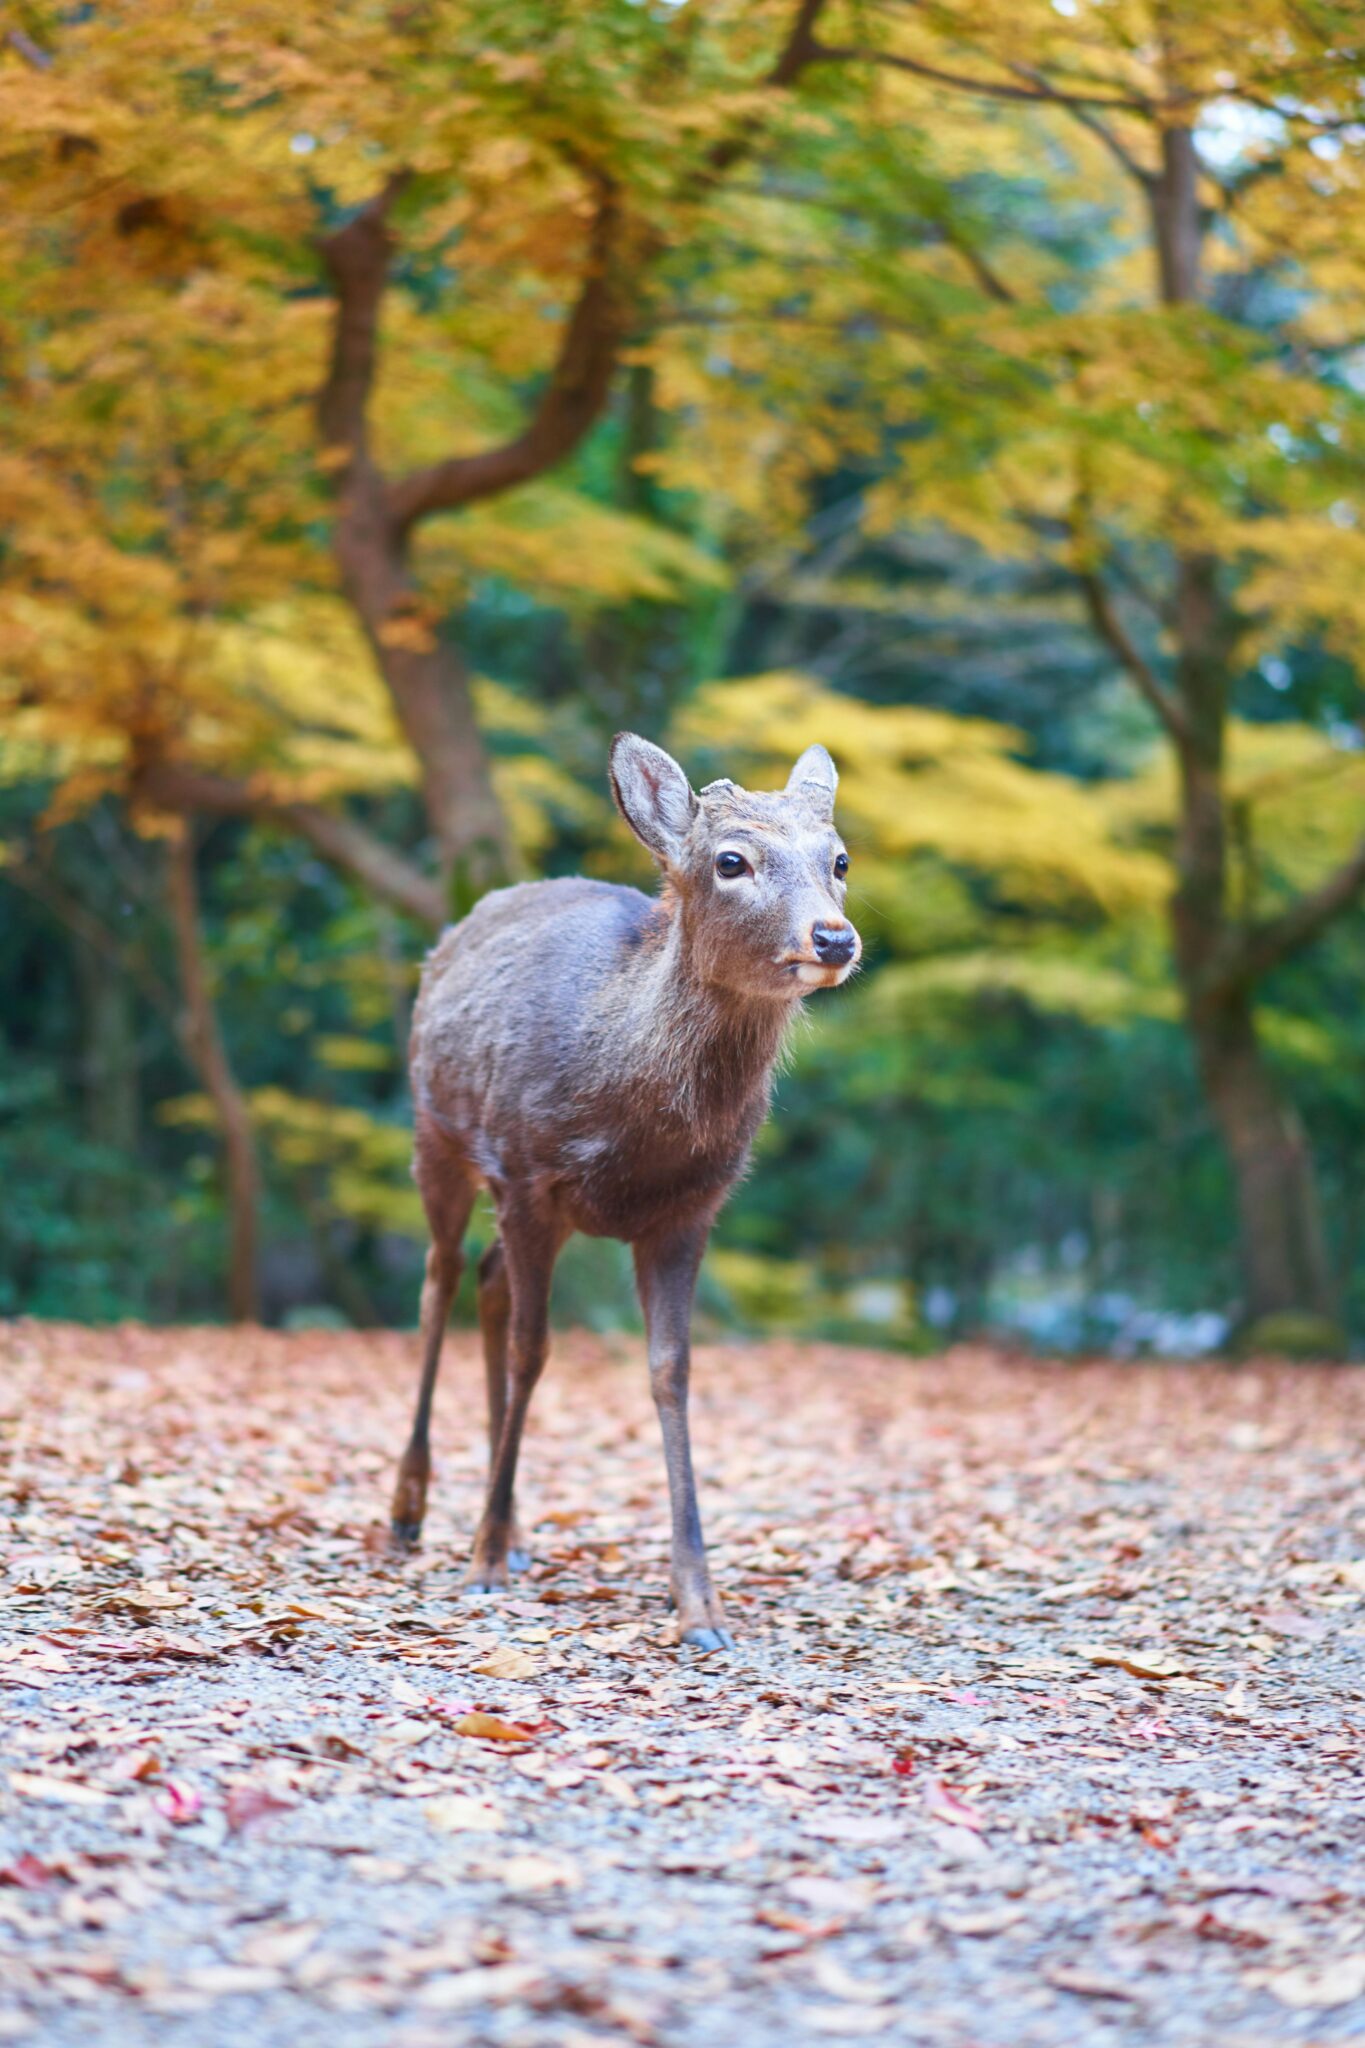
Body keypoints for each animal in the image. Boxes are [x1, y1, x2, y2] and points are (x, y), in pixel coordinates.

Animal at [388, 737, 859, 1646]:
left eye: (839, 859)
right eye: (731, 860)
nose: (833, 937)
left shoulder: (689, 1211)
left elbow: (670, 1370)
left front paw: (699, 1603)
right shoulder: (527, 1172)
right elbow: (533, 1351)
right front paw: (481, 1562)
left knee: (488, 1284)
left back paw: (515, 1526)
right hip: (438, 1133)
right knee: (438, 1280)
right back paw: (411, 1512)